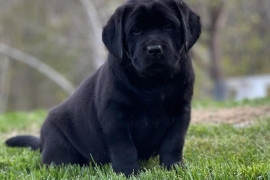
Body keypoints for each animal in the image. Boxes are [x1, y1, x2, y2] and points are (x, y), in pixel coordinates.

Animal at [5, 0, 200, 177]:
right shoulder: (115, 115)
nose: (154, 49)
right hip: (59, 143)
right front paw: (128, 173)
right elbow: (124, 148)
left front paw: (173, 168)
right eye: (136, 30)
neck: (154, 82)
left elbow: (173, 143)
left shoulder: (181, 111)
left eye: (168, 26)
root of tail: (42, 142)